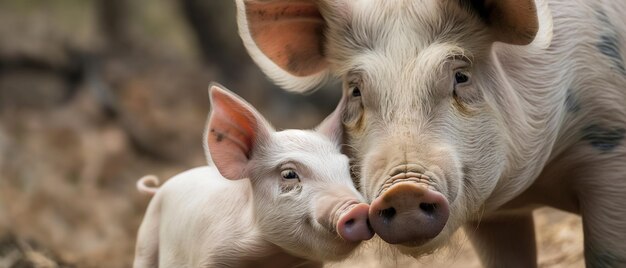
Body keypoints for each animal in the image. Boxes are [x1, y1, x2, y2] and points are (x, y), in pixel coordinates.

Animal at [132, 85, 372, 266]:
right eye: (289, 174)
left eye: (347, 169)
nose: (358, 208)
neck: (270, 257)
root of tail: (160, 187)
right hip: (145, 240)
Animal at [235, 1, 624, 266]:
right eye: (355, 90)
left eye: (461, 76)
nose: (404, 189)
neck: (535, 189)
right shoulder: (498, 217)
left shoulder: (610, 151)